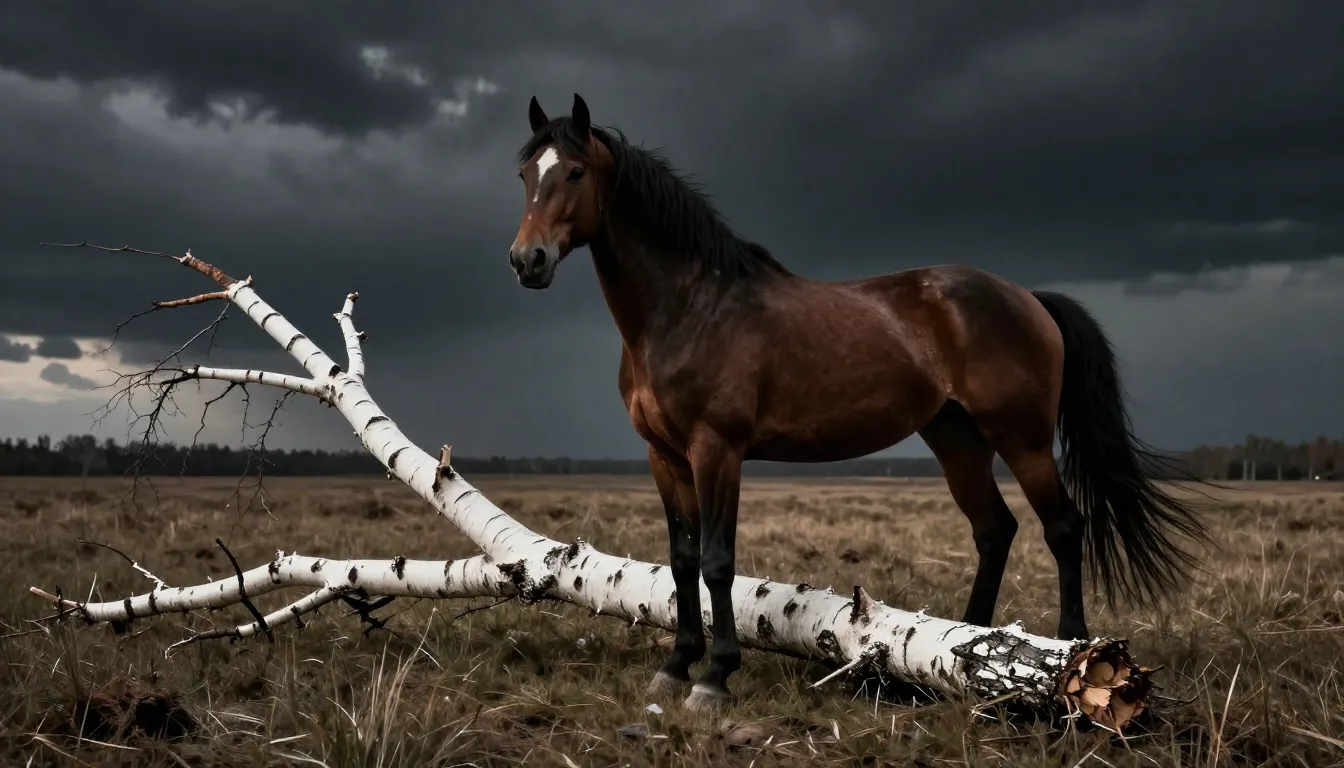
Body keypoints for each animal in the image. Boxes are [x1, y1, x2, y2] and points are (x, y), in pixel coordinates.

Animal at [507, 93, 1210, 711]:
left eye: (575, 171)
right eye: (524, 173)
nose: (526, 260)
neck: (690, 308)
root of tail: (1028, 297)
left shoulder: (717, 451)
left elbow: (716, 561)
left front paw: (715, 678)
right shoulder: (664, 457)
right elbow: (680, 563)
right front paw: (676, 667)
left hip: (1024, 438)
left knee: (1063, 528)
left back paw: (1065, 648)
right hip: (956, 439)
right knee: (994, 531)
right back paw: (961, 655)